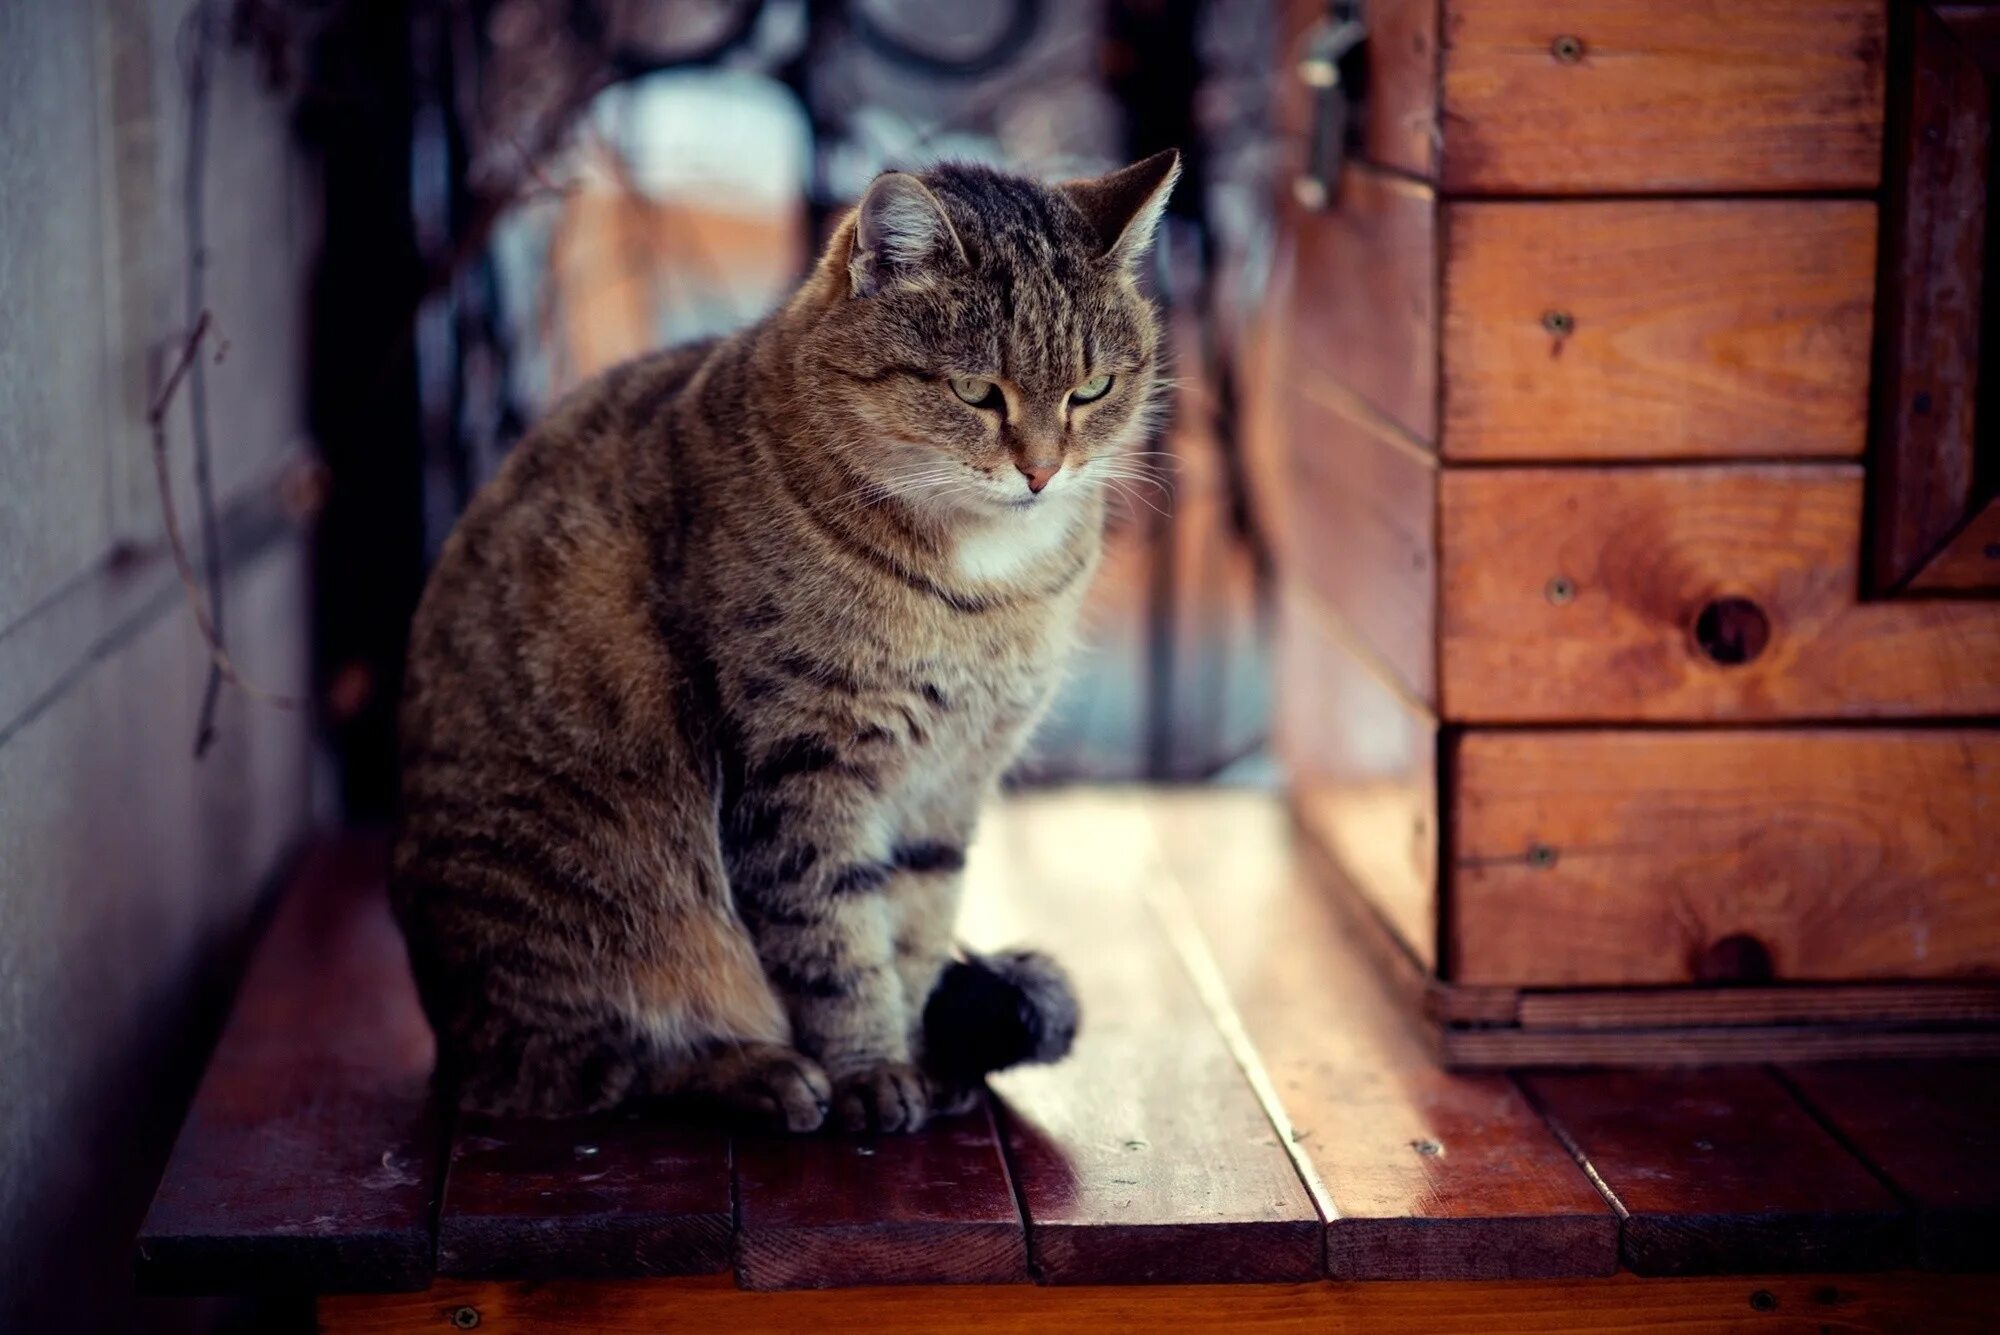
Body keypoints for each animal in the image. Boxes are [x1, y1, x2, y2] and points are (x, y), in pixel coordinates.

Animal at [386, 145, 1184, 1135]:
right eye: (975, 391)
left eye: (1092, 388)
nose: (1042, 471)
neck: (979, 591)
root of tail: (445, 1040)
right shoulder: (798, 768)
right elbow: (833, 944)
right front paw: (872, 1071)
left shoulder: (952, 781)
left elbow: (915, 927)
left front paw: (922, 1055)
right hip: (584, 910)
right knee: (587, 1069)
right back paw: (759, 1074)